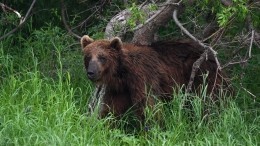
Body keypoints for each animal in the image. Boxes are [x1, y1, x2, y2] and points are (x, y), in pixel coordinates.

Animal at [80, 35, 226, 122]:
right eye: (88, 57)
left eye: (102, 57)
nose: (91, 72)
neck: (123, 73)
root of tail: (208, 51)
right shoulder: (119, 89)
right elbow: (111, 107)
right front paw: (103, 125)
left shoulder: (143, 76)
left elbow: (148, 106)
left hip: (202, 74)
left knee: (209, 99)